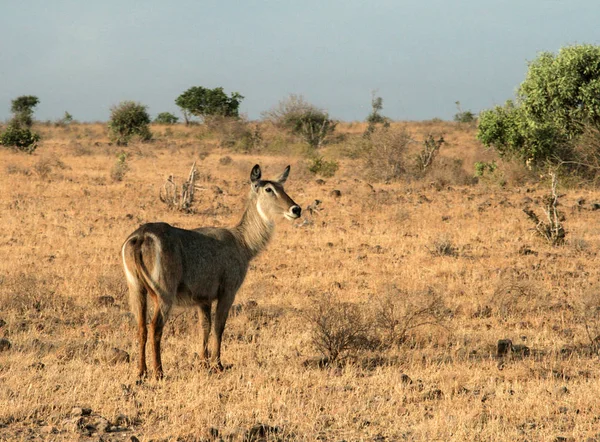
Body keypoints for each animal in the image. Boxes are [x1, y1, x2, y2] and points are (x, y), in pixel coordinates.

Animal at [120, 164, 300, 378]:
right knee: (155, 326)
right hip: (164, 294)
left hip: (136, 289)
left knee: (141, 327)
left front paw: (203, 362)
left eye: (282, 187)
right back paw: (159, 372)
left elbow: (204, 327)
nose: (296, 209)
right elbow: (219, 326)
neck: (242, 242)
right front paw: (218, 364)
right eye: (269, 189)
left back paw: (141, 372)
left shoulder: (202, 299)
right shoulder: (228, 292)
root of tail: (141, 236)